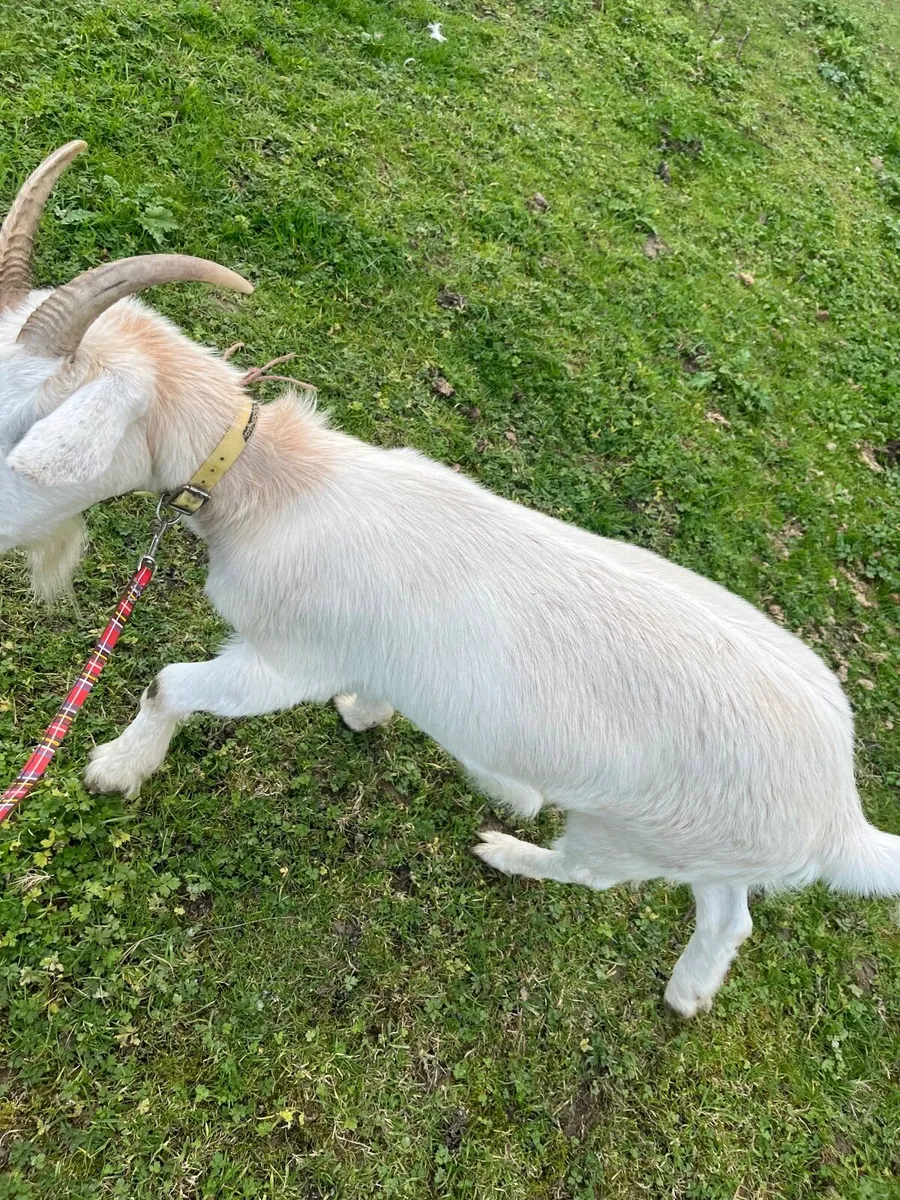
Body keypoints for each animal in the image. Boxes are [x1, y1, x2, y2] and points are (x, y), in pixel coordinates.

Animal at [1, 144, 897, 1017]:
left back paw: (509, 843)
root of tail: (836, 812)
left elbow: (168, 684)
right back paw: (688, 991)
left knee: (596, 871)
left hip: (630, 832)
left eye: (19, 427)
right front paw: (366, 712)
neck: (274, 485)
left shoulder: (283, 662)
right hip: (704, 849)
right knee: (729, 913)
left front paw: (117, 768)